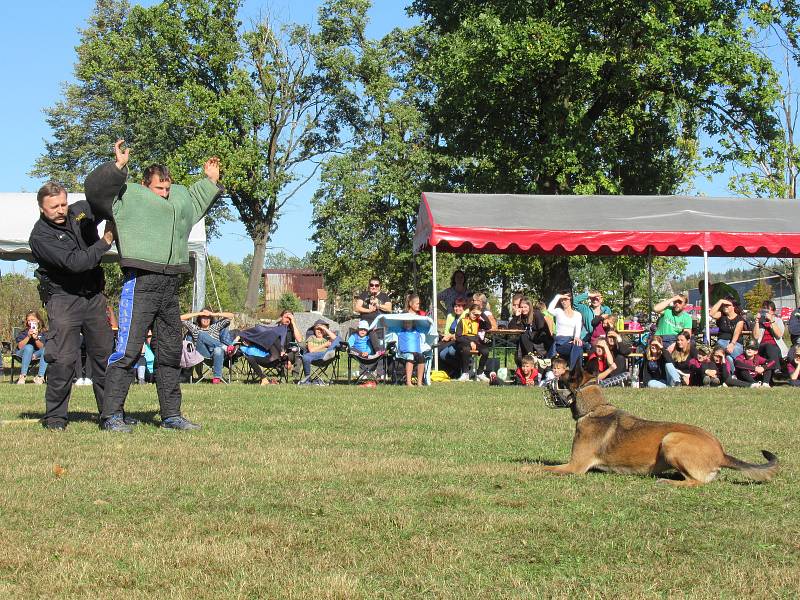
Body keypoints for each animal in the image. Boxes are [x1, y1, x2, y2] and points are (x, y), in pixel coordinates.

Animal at [540, 366, 780, 488]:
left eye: (560, 379)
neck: (594, 408)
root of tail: (721, 453)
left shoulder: (575, 467)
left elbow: (540, 468)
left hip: (671, 439)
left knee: (696, 482)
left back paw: (668, 482)